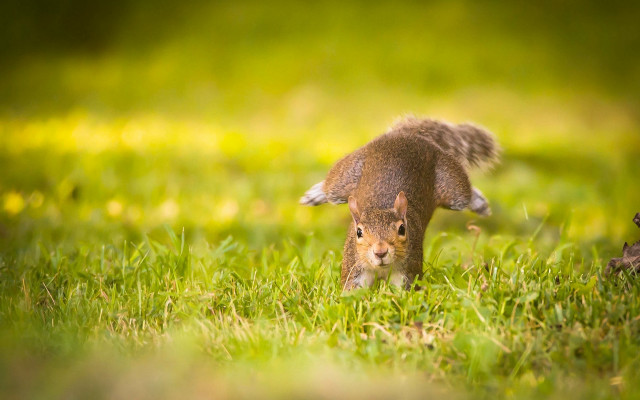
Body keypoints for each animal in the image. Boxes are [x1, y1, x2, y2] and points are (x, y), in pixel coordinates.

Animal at [300, 117, 500, 290]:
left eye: (402, 229)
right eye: (359, 232)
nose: (380, 252)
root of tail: (410, 136)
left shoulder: (407, 272)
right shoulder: (354, 268)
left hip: (451, 184)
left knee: (464, 193)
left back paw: (478, 202)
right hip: (348, 172)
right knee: (332, 187)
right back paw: (315, 194)